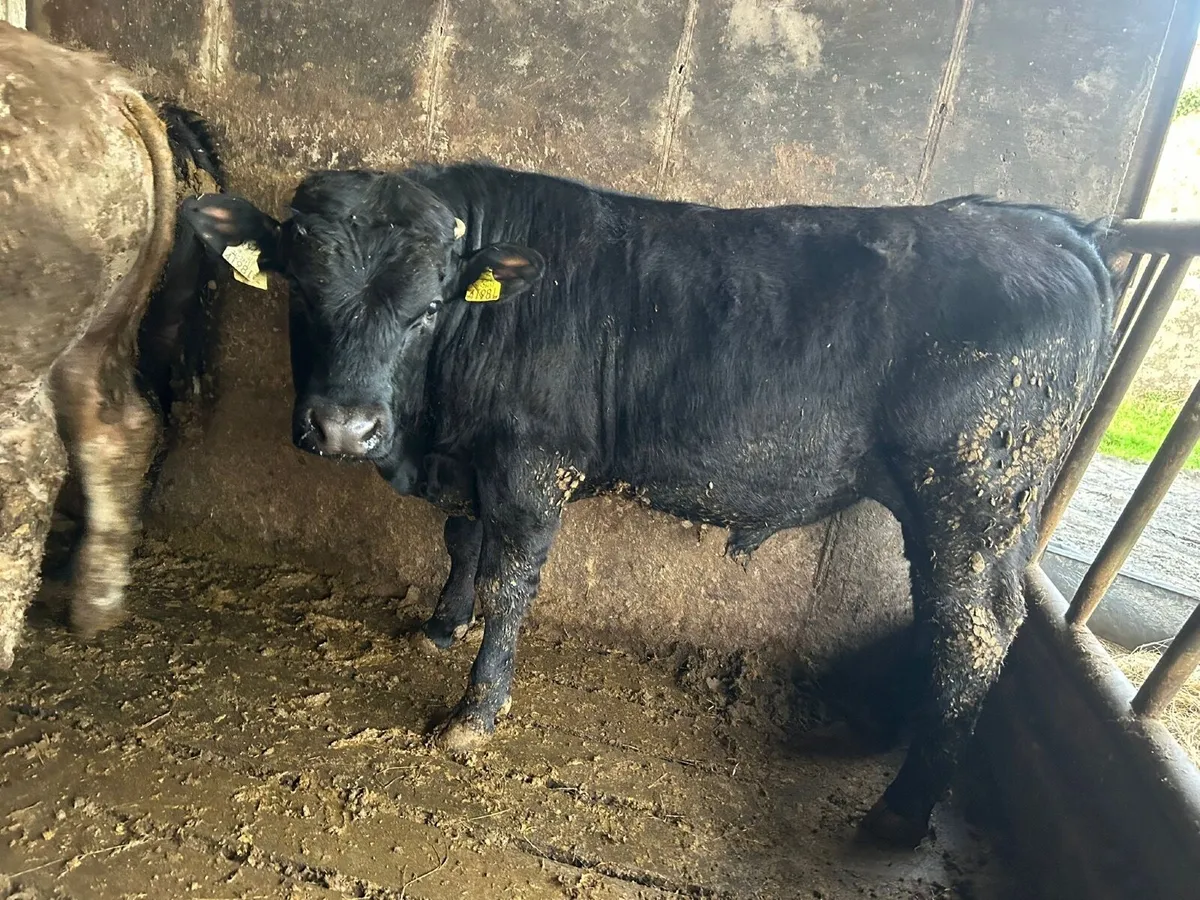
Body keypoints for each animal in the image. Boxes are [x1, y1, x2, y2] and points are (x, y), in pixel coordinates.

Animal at [0, 22, 224, 668]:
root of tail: (111, 87)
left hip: (21, 338)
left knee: (31, 465)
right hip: (95, 327)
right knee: (116, 426)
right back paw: (94, 608)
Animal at [181, 161, 1116, 846]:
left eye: (429, 307)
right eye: (301, 290)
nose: (345, 427)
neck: (434, 437)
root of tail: (1049, 226)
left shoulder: (532, 465)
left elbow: (512, 581)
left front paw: (475, 712)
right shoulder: (478, 463)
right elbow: (461, 539)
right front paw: (443, 624)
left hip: (974, 494)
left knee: (977, 627)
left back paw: (902, 807)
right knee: (946, 613)